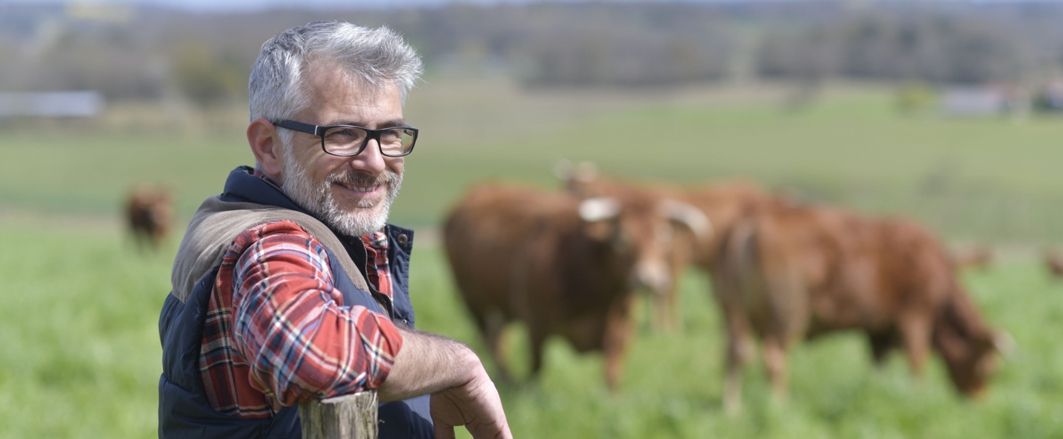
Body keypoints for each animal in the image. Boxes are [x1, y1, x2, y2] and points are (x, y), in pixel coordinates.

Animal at [440, 182, 705, 389]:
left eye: (664, 236)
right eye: (621, 238)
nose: (649, 279)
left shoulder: (621, 329)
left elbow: (611, 375)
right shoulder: (536, 324)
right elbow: (536, 368)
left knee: (499, 337)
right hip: (472, 300)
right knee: (489, 338)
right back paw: (507, 378)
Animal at [714, 201, 1003, 410]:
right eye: (987, 368)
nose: (981, 403)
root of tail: (754, 220)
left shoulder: (879, 330)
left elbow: (878, 365)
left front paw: (880, 392)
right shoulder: (915, 315)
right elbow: (916, 360)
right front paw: (918, 398)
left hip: (733, 311)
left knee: (734, 353)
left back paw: (732, 409)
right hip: (786, 314)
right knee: (774, 358)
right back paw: (779, 405)